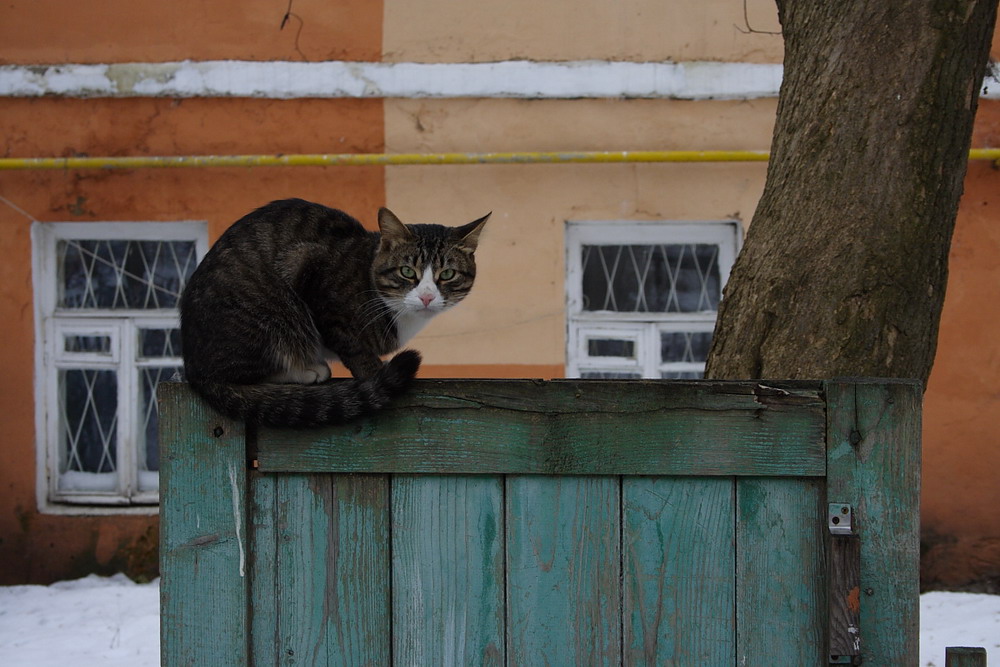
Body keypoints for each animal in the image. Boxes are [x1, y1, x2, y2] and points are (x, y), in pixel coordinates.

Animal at [183, 198, 492, 428]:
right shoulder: (309, 270)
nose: (427, 296)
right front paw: (375, 374)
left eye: (447, 274)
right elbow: (352, 345)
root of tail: (195, 370)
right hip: (268, 316)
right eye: (407, 271)